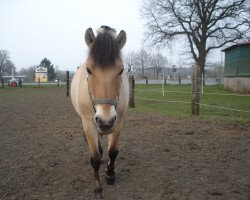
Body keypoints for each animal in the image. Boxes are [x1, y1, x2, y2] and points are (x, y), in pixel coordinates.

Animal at [70, 25, 129, 199]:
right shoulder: (89, 123)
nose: (105, 120)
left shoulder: (118, 121)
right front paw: (97, 189)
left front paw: (110, 174)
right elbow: (95, 158)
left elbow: (113, 151)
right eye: (89, 70)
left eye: (121, 70)